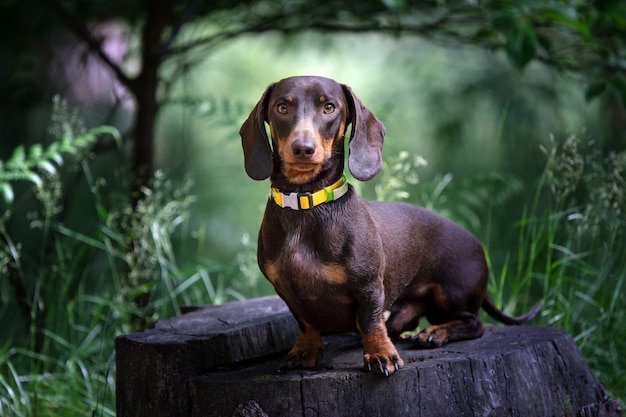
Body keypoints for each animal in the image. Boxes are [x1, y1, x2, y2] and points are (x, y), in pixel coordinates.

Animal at [239, 75, 536, 376]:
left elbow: (370, 322)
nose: (303, 148)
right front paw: (305, 351)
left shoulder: (369, 286)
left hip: (452, 293)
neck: (305, 203)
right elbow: (306, 323)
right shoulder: (287, 291)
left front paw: (381, 355)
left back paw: (435, 333)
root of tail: (478, 245)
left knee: (474, 323)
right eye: (282, 108)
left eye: (329, 107)